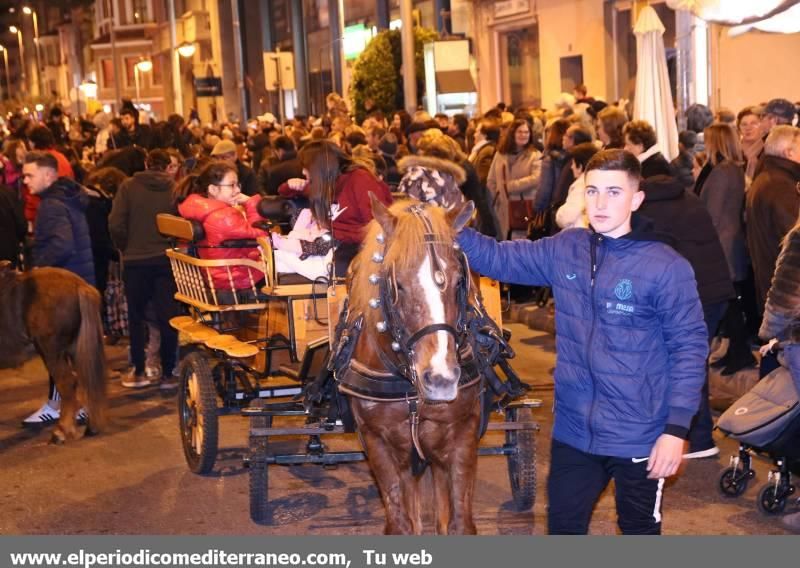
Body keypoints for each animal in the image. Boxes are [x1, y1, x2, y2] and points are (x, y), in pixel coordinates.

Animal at [334, 197, 478, 536]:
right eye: (397, 284)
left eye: (459, 282)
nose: (441, 379)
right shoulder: (377, 443)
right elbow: (401, 523)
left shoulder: (463, 434)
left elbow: (458, 522)